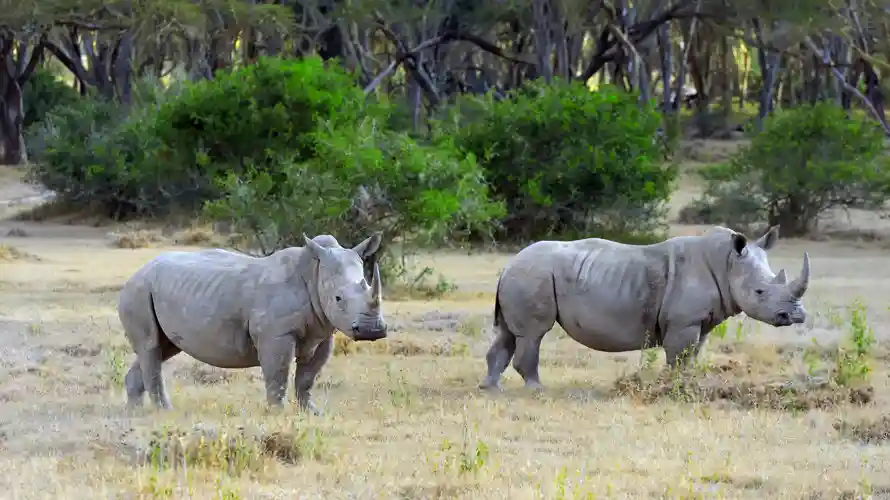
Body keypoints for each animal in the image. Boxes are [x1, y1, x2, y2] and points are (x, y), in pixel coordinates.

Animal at [117, 232, 386, 412]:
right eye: (338, 298)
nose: (372, 330)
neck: (314, 273)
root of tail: (136, 273)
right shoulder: (276, 335)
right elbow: (278, 374)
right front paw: (277, 413)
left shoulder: (322, 332)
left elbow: (307, 378)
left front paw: (310, 412)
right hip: (138, 291)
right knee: (150, 347)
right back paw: (164, 412)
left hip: (155, 290)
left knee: (162, 348)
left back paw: (135, 412)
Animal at [478, 225, 812, 392]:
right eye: (760, 292)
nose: (795, 316)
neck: (727, 263)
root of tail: (508, 265)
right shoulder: (683, 322)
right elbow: (678, 356)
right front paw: (672, 387)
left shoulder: (700, 322)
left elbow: (691, 355)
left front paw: (688, 384)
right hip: (532, 275)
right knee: (533, 334)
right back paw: (536, 389)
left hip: (523, 276)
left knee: (508, 334)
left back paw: (490, 388)